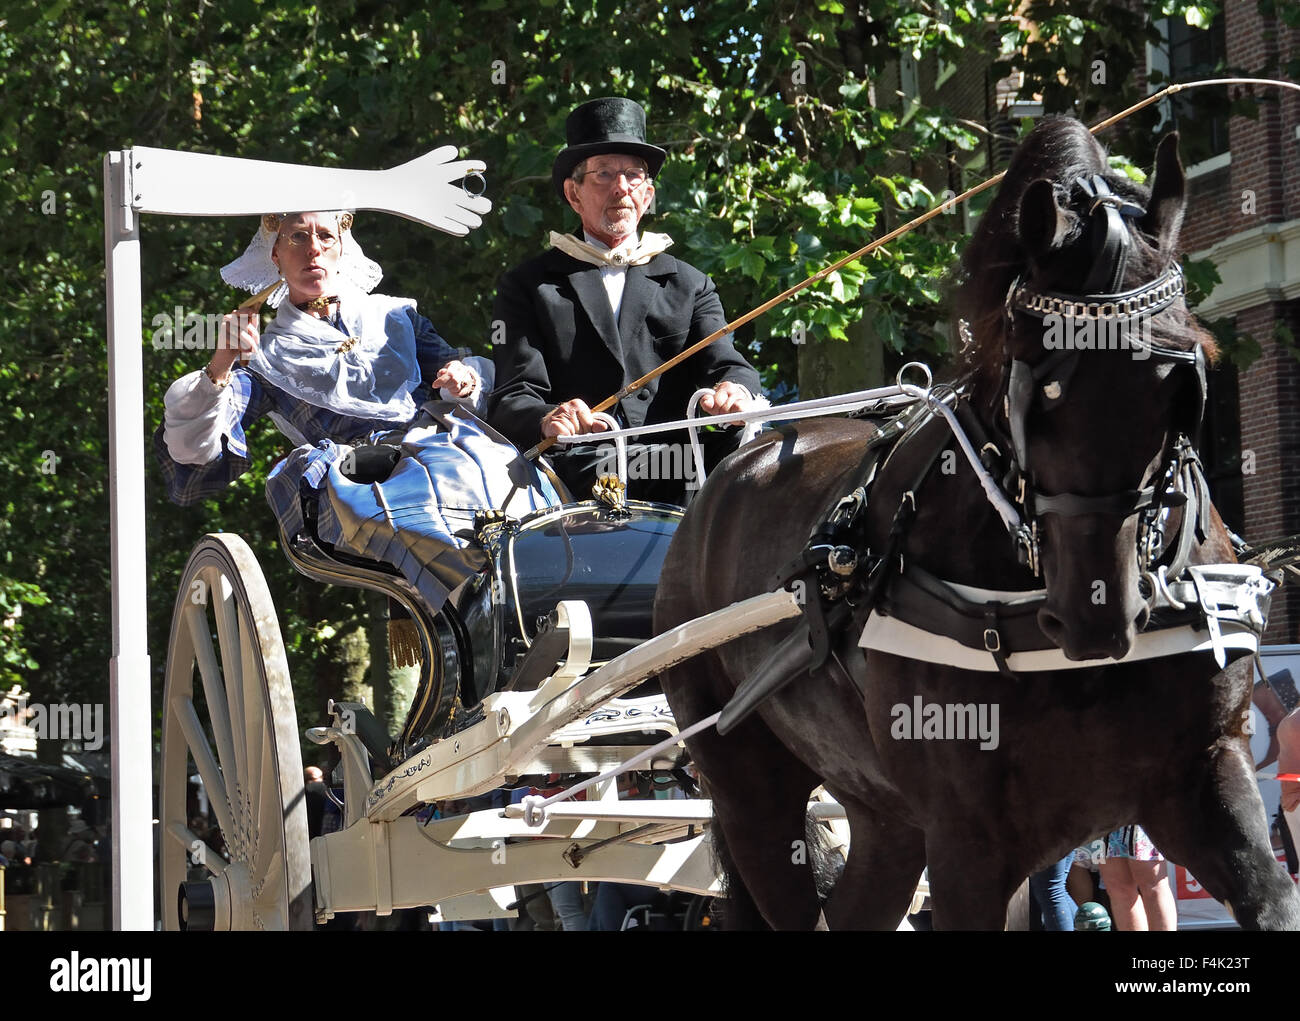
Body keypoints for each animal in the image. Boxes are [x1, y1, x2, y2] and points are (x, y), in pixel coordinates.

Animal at [660, 115, 1300, 926]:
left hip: (884, 815)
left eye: (1182, 382)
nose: (1099, 616)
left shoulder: (1201, 776)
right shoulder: (968, 839)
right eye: (1039, 386)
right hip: (752, 791)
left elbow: (1273, 896)